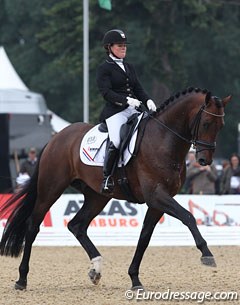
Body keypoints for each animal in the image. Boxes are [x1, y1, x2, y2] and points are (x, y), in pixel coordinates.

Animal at [0, 87, 230, 290]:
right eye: (207, 123)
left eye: (221, 126)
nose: (204, 160)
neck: (164, 139)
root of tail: (56, 138)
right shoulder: (156, 195)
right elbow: (188, 216)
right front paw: (207, 254)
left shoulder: (158, 201)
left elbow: (145, 237)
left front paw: (135, 279)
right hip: (51, 189)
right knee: (33, 225)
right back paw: (21, 280)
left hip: (97, 196)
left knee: (77, 225)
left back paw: (96, 270)